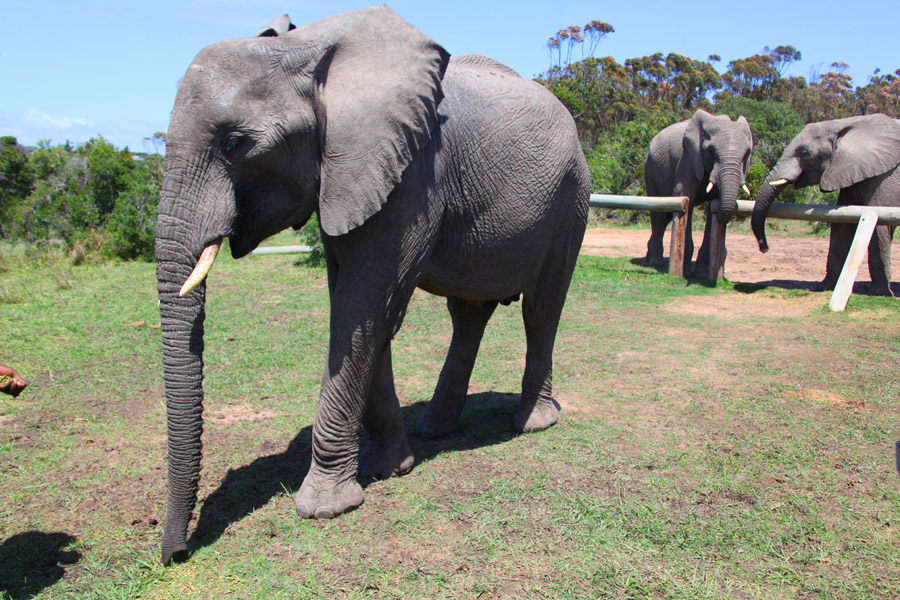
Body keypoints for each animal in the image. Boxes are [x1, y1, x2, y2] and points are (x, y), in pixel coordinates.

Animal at [155, 4, 592, 564]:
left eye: (236, 144)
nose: (176, 554)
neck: (306, 50)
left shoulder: (413, 174)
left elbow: (362, 305)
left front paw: (324, 508)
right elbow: (364, 310)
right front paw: (390, 469)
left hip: (570, 198)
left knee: (541, 308)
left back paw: (532, 423)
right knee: (467, 315)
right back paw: (436, 429)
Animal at [644, 110, 756, 278]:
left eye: (747, 153)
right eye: (711, 151)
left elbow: (714, 206)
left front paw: (702, 274)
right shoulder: (688, 158)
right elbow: (685, 198)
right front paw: (686, 273)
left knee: (665, 216)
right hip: (650, 168)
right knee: (658, 215)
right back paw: (654, 262)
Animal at [748, 113, 900, 294]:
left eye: (805, 153)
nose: (764, 248)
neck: (847, 123)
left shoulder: (886, 175)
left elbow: (879, 225)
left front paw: (879, 293)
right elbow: (843, 225)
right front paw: (824, 287)